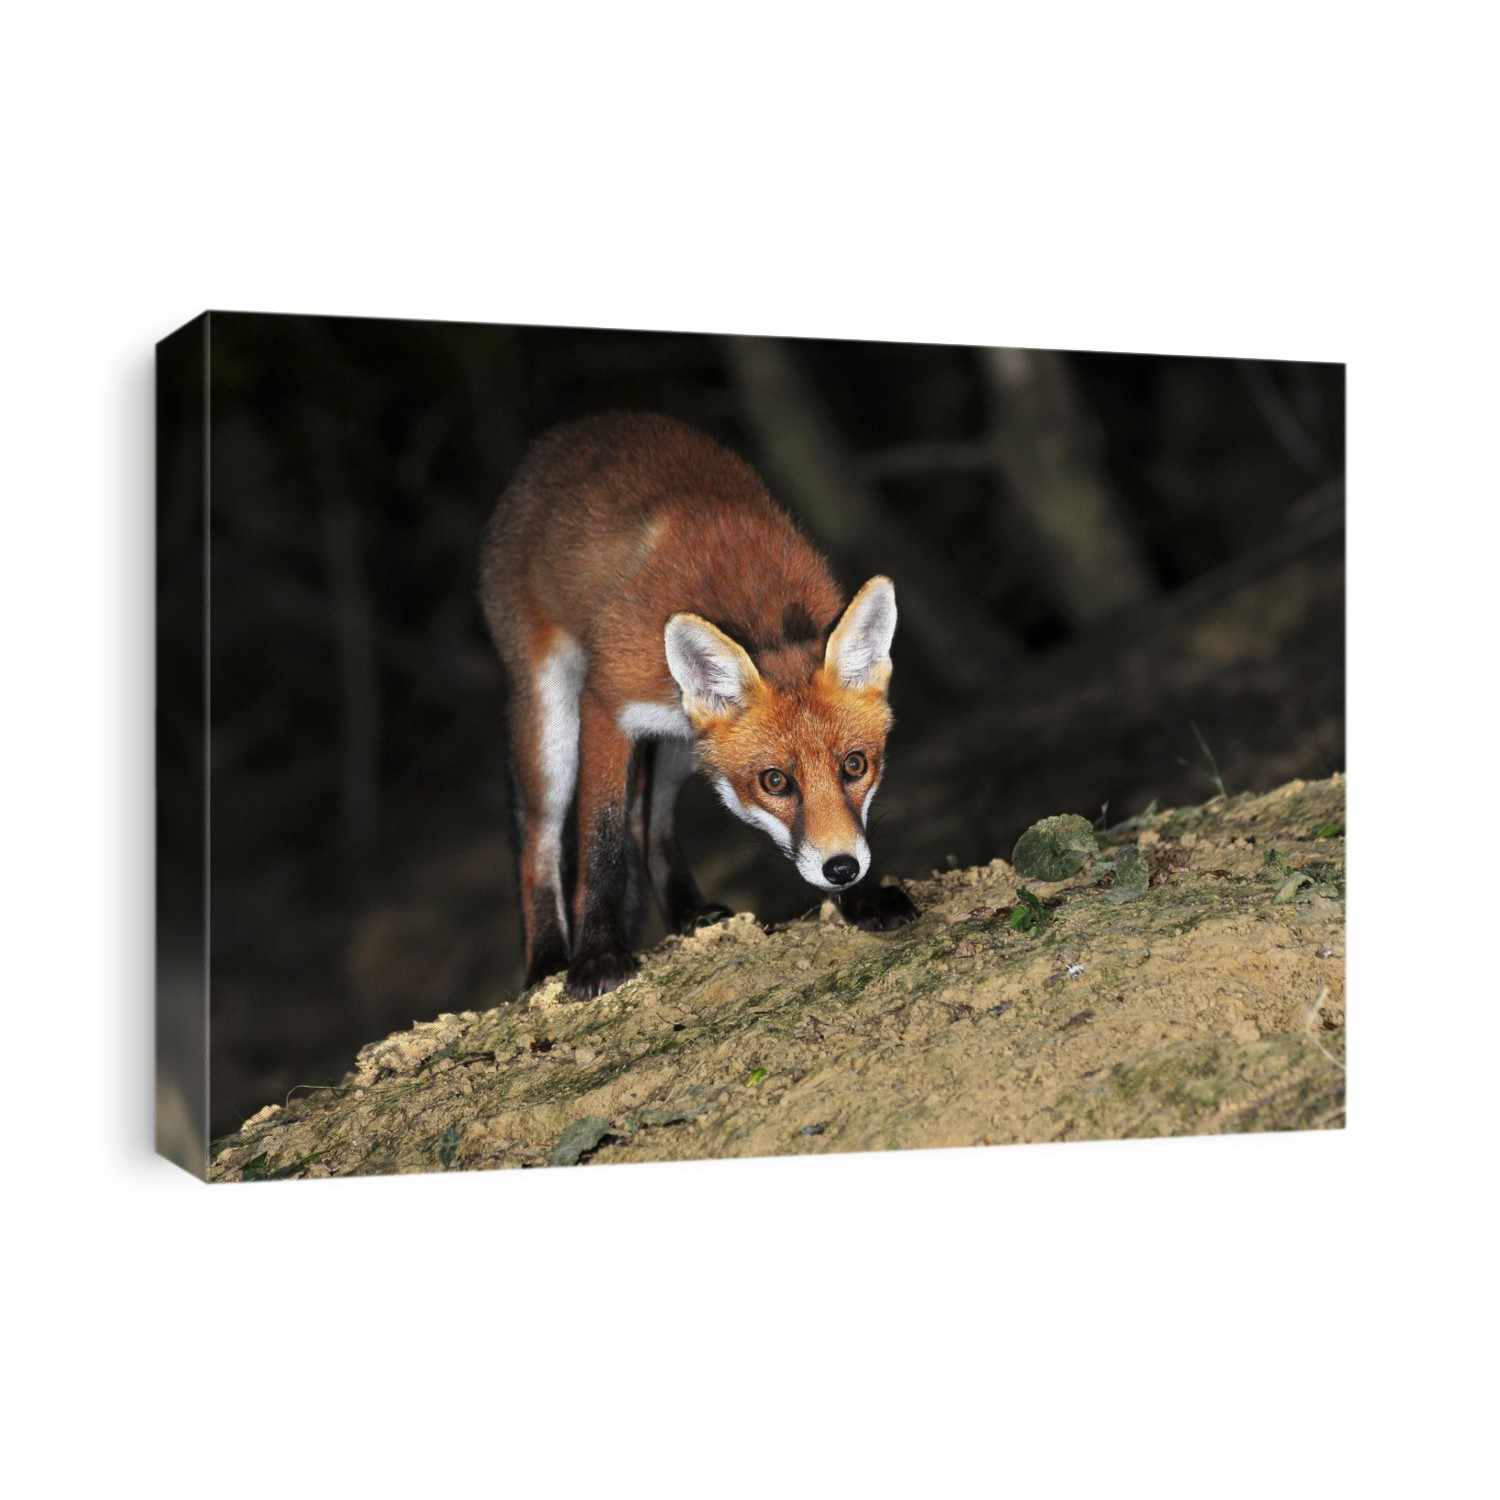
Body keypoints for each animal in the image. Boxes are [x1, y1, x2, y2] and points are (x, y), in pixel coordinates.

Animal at [480, 411, 919, 1001]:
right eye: (774, 781)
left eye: (855, 765)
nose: (843, 871)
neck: (761, 618)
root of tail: (578, 427)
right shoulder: (607, 704)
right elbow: (600, 843)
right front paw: (597, 956)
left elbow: (634, 827)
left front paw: (864, 899)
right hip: (552, 721)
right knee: (540, 841)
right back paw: (546, 962)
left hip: (683, 743)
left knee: (649, 821)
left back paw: (688, 913)